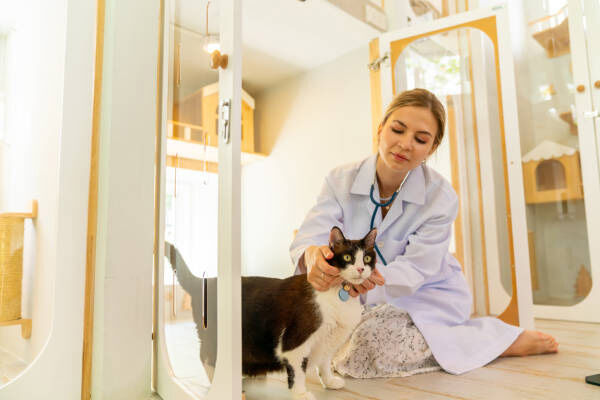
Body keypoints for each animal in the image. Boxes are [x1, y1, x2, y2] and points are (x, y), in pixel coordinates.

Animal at [165, 226, 377, 400]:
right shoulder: (294, 343)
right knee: (206, 356)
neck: (340, 295)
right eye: (347, 257)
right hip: (216, 336)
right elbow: (299, 371)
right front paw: (300, 393)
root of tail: (205, 282)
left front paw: (330, 380)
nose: (360, 268)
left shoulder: (329, 339)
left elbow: (324, 362)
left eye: (367, 258)